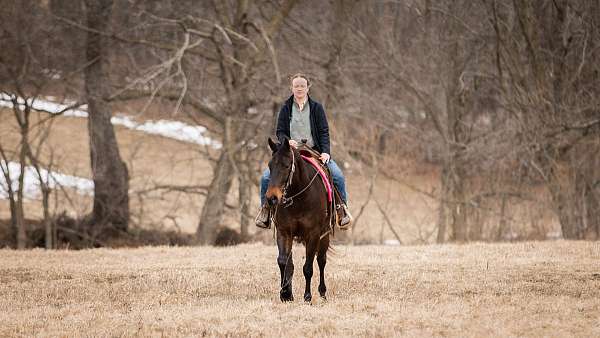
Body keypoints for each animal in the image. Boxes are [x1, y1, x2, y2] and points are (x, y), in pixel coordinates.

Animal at [266, 137, 336, 304]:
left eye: (286, 165)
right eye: (270, 166)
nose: (272, 198)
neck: (299, 198)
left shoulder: (313, 234)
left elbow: (308, 268)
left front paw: (307, 297)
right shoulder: (284, 232)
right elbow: (283, 262)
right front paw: (285, 294)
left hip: (324, 235)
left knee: (321, 260)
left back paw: (322, 293)